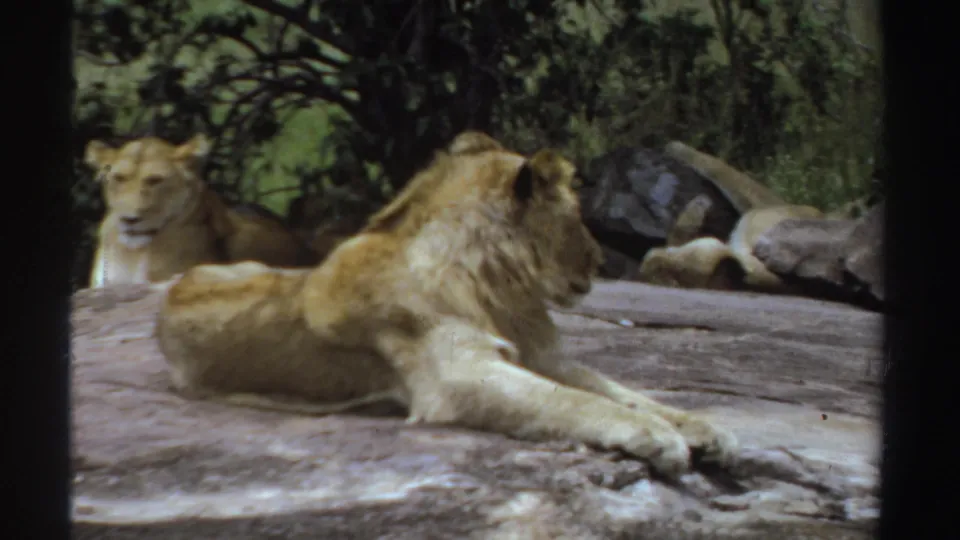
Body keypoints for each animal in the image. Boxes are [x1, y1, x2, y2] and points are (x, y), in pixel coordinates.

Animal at [155, 131, 739, 477]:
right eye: (577, 218)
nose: (599, 262)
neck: (499, 287)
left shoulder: (542, 356)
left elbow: (621, 391)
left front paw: (701, 427)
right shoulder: (458, 376)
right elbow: (575, 402)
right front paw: (657, 438)